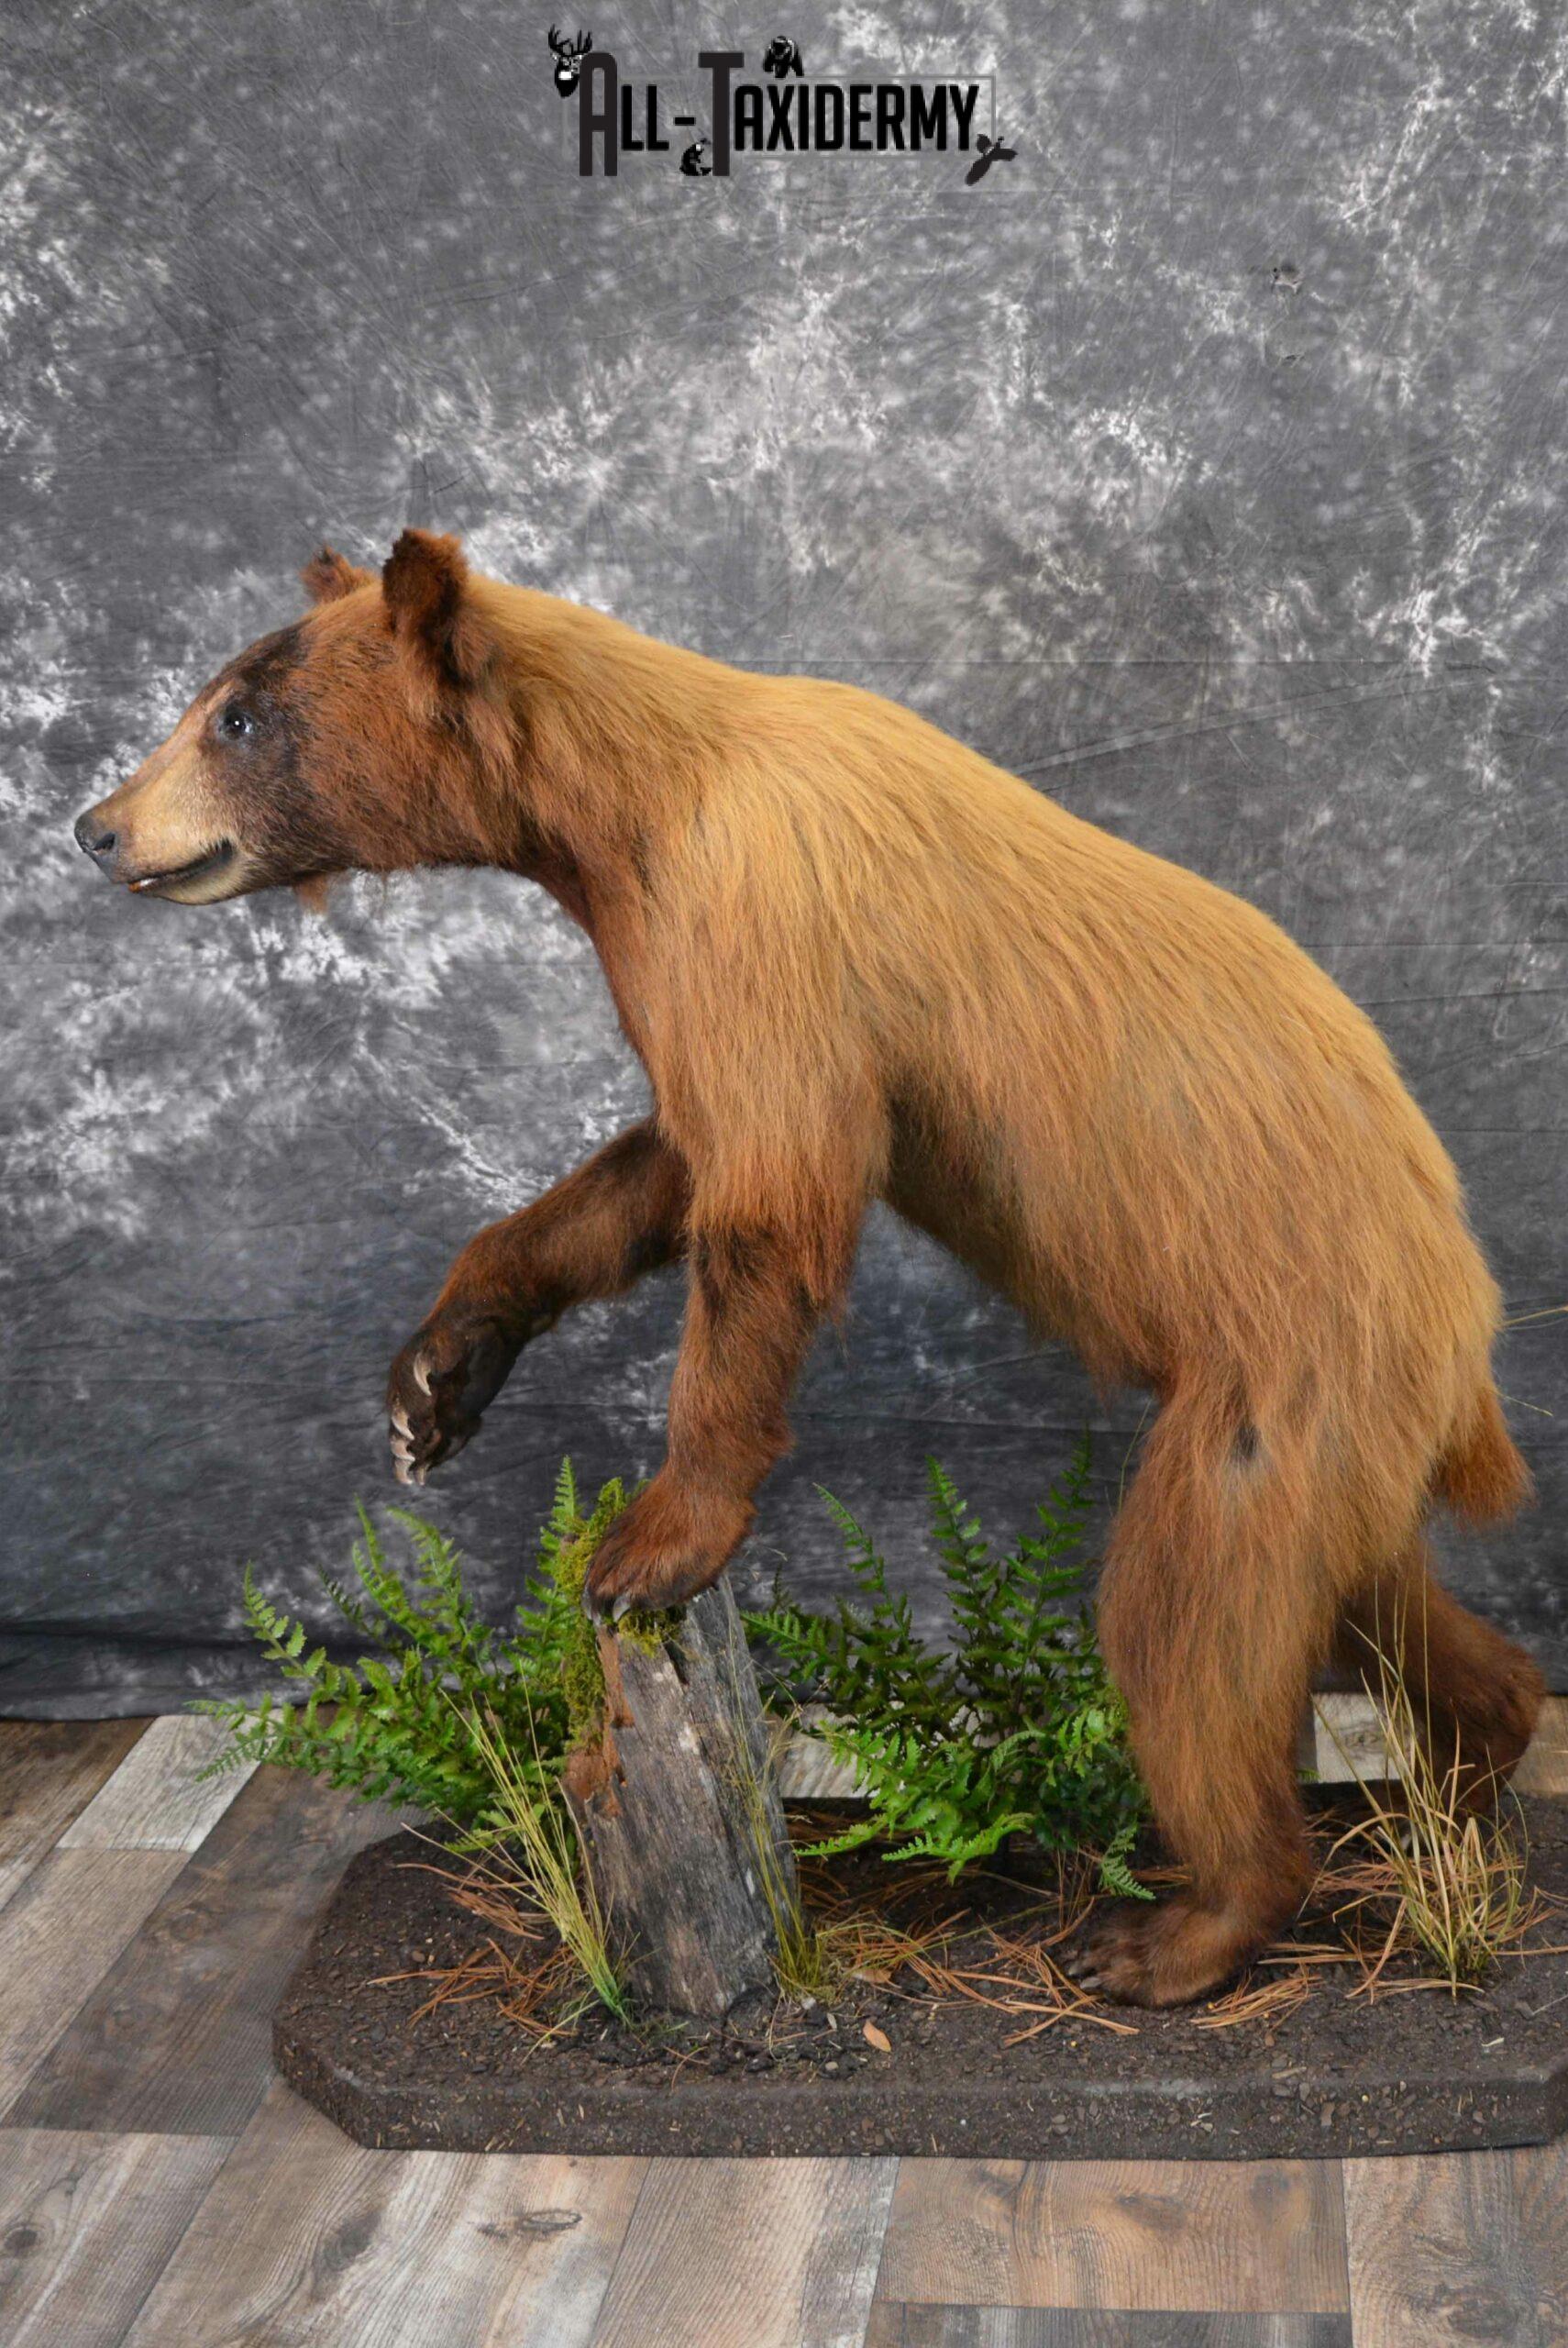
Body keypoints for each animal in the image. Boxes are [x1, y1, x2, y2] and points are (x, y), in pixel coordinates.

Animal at [73, 528, 1544, 2005]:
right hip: (1352, 1447)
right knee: (1361, 1601)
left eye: (237, 714)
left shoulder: (763, 917)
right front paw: (434, 1381)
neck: (618, 812)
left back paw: (1181, 1927)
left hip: (1284, 1380)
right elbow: (664, 1164)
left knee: (1185, 1620)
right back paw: (1473, 1761)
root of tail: (1471, 1332)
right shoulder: (682, 964)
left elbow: (771, 1197)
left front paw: (651, 1542)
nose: (96, 824)